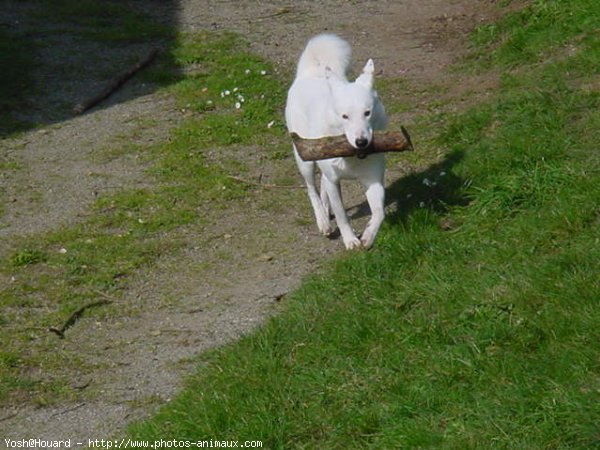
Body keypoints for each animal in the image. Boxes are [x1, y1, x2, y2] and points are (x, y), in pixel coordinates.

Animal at [286, 33, 390, 248]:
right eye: (345, 116)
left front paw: (368, 235)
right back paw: (323, 221)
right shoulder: (334, 183)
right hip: (304, 160)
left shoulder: (373, 179)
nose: (361, 142)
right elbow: (342, 215)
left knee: (322, 186)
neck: (352, 156)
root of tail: (308, 72)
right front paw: (350, 240)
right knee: (312, 190)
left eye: (367, 113)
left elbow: (379, 213)